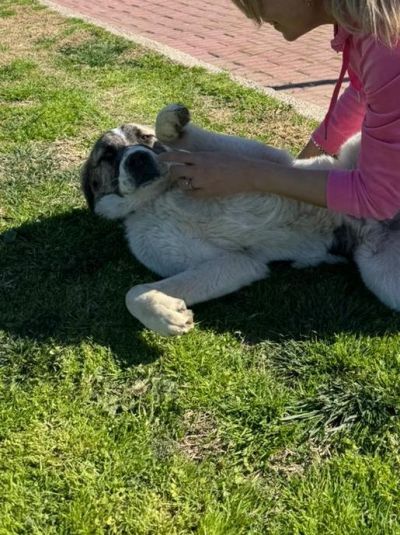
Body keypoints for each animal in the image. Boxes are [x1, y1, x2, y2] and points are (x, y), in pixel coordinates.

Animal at [81, 104, 400, 335]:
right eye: (108, 155)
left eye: (146, 139)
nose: (137, 158)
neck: (159, 196)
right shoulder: (238, 262)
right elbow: (133, 293)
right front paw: (165, 313)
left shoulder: (272, 160)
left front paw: (172, 124)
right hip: (383, 276)